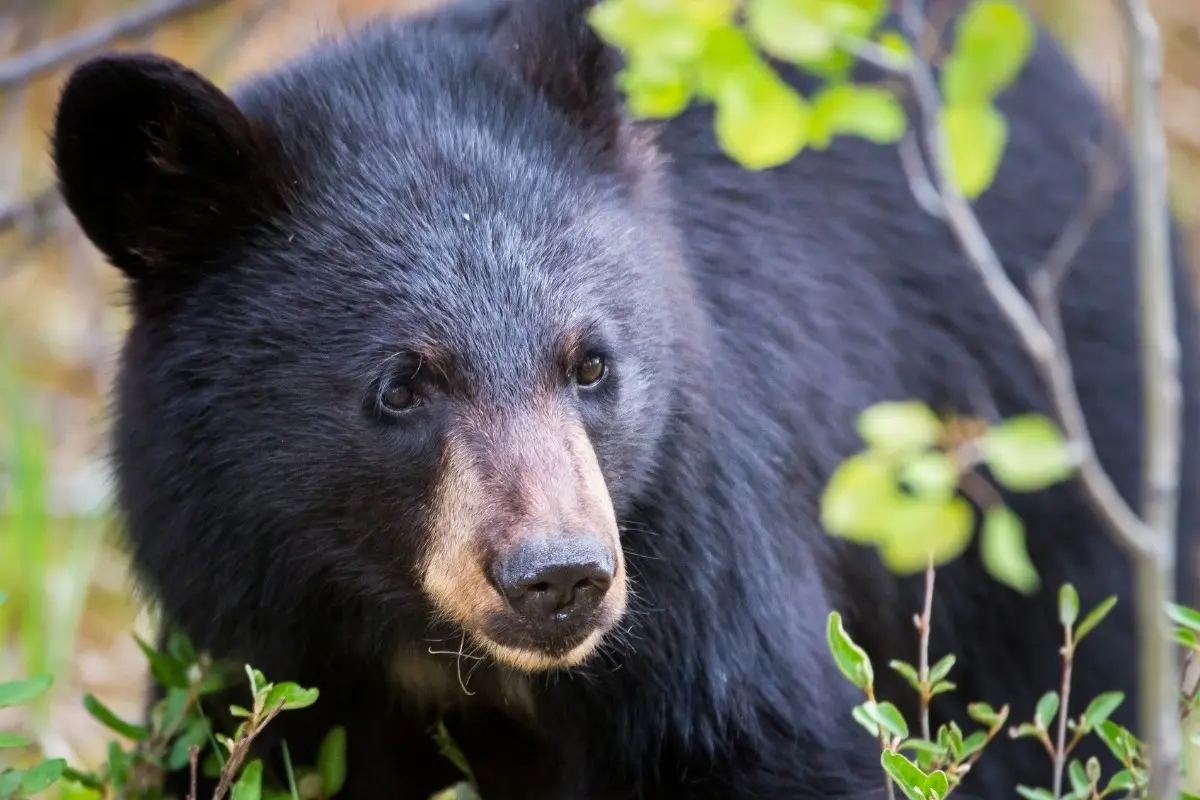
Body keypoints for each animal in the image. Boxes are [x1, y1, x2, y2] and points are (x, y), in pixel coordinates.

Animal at [46, 0, 1200, 796]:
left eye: (592, 362)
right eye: (400, 386)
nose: (559, 578)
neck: (438, 651)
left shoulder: (705, 590)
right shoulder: (261, 633)